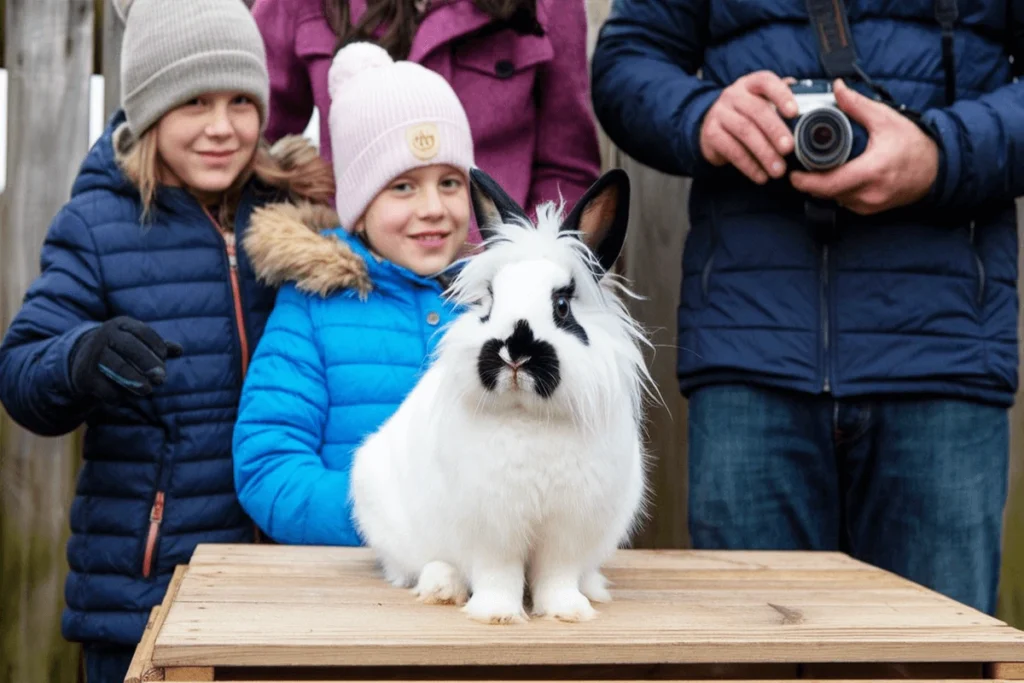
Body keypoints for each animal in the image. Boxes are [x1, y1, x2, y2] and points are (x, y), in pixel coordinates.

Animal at [352, 166, 655, 626]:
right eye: (491, 303)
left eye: (562, 306)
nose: (514, 350)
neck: (527, 417)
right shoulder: (492, 527)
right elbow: (498, 574)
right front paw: (496, 615)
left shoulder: (568, 530)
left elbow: (557, 575)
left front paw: (568, 611)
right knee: (416, 566)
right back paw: (442, 587)